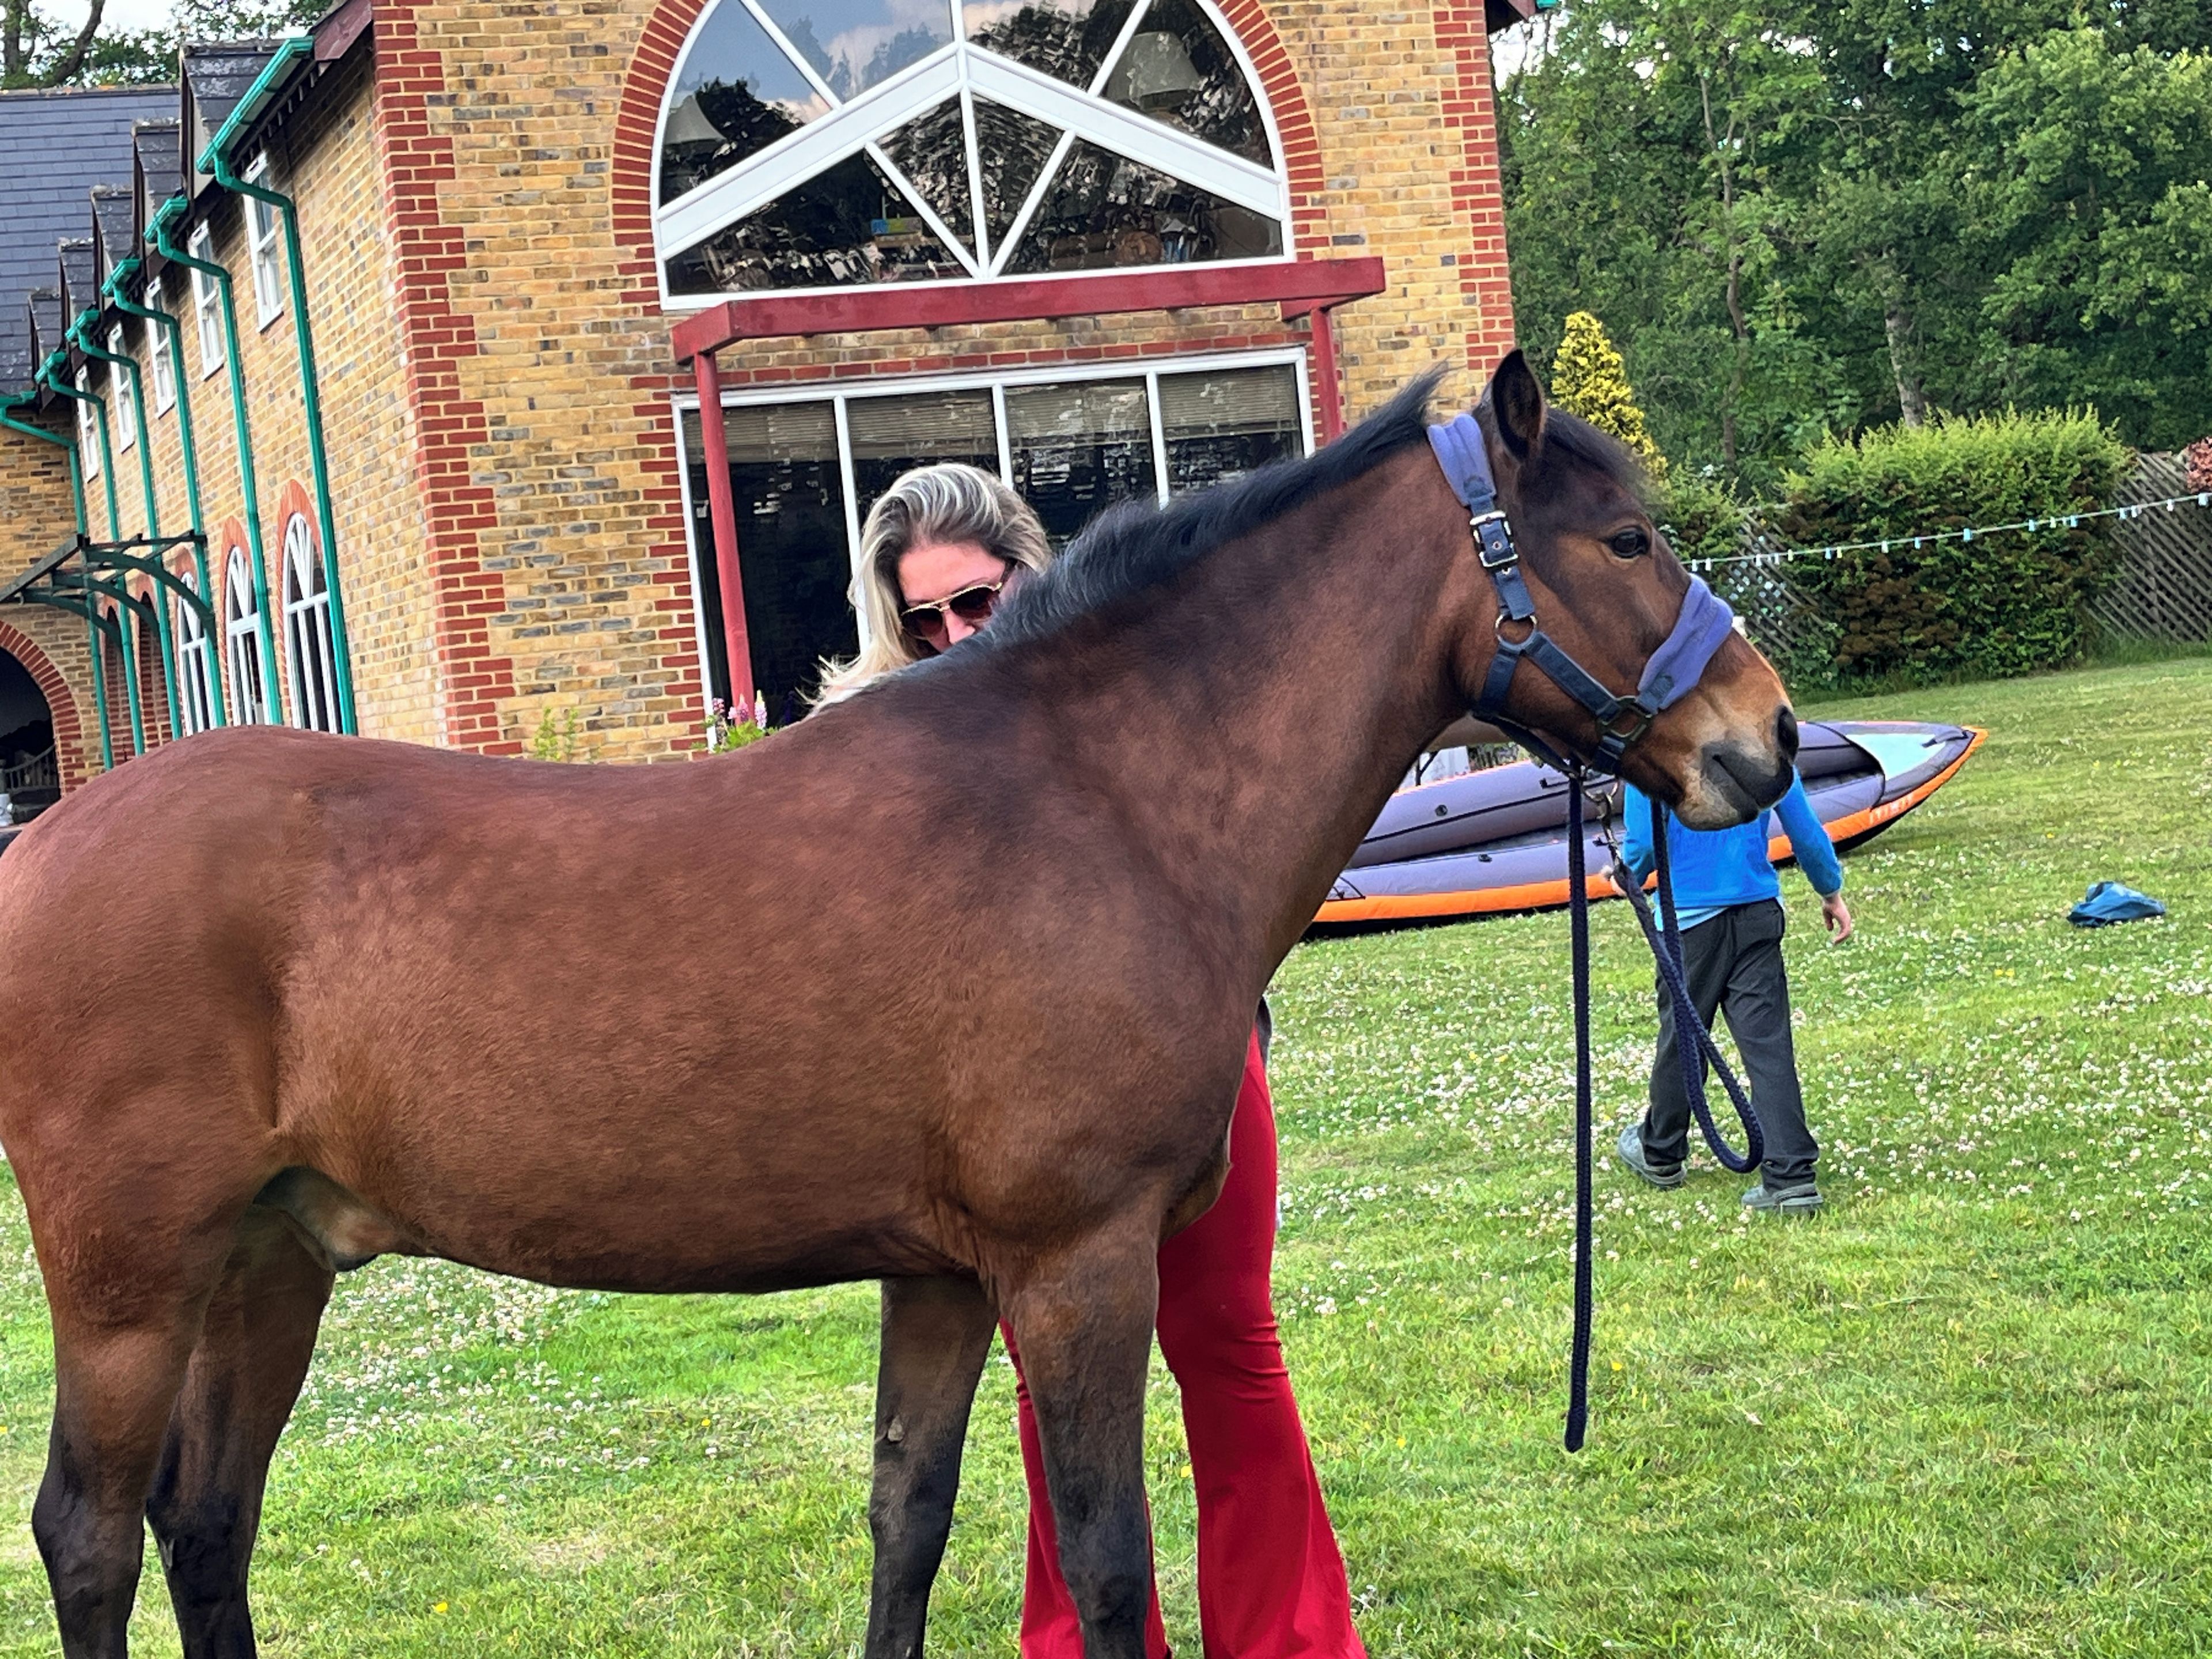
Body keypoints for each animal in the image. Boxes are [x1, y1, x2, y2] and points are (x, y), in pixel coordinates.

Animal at [0, 353, 1797, 1659]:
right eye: (1625, 539)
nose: (1766, 738)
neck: (1098, 796)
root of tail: (41, 847)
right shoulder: (1075, 1268)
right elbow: (1113, 1562)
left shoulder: (939, 1276)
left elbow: (906, 1521)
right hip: (131, 1290)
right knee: (88, 1537)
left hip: (269, 1263)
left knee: (206, 1525)